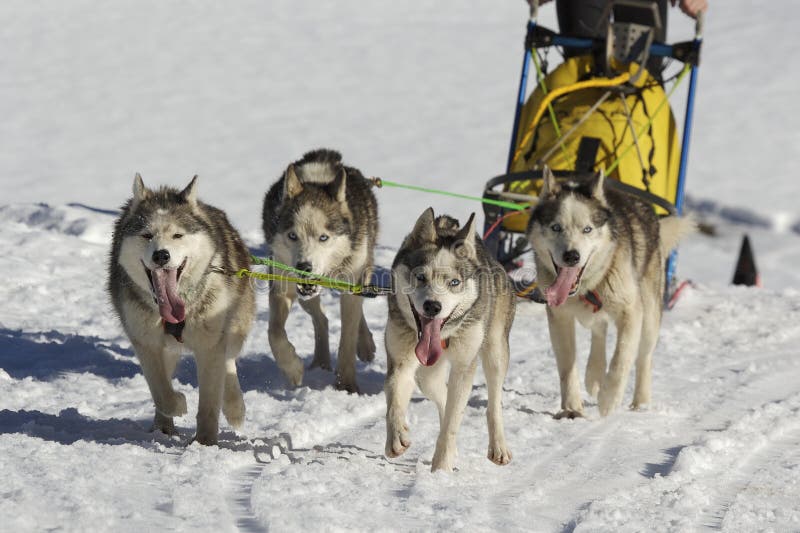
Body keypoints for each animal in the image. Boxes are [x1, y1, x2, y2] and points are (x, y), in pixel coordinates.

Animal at [108, 176, 255, 444]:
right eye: (146, 235)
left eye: (178, 235)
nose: (161, 255)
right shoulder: (145, 343)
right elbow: (161, 392)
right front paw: (177, 404)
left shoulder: (210, 345)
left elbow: (209, 402)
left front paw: (205, 442)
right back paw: (162, 426)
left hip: (235, 326)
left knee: (229, 360)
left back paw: (234, 407)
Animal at [260, 149, 378, 390]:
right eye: (292, 235)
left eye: (324, 237)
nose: (304, 267)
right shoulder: (282, 285)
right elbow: (274, 332)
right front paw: (293, 368)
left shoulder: (352, 284)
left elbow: (347, 339)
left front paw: (346, 386)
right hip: (304, 295)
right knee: (321, 319)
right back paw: (320, 362)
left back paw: (365, 344)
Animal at [384, 208, 516, 470]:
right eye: (420, 277)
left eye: (454, 282)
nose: (432, 306)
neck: (443, 336)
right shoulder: (401, 360)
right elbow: (394, 399)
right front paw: (396, 436)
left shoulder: (464, 366)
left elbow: (452, 422)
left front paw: (441, 470)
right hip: (426, 374)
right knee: (442, 397)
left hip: (495, 352)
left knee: (493, 404)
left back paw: (498, 447)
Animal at [528, 168, 692, 418]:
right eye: (556, 227)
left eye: (587, 229)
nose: (572, 256)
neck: (587, 287)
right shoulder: (559, 317)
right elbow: (567, 367)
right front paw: (572, 408)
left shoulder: (631, 312)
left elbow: (621, 359)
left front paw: (608, 399)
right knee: (599, 332)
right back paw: (595, 375)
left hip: (650, 317)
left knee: (644, 358)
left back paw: (640, 402)